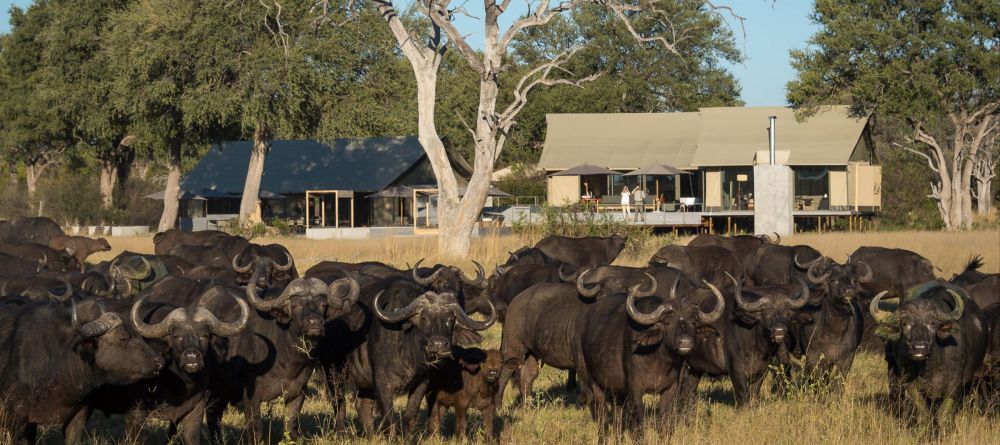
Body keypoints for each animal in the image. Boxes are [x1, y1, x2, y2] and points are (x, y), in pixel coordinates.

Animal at [872, 282, 988, 436]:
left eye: (933, 323)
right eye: (904, 324)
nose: (919, 348)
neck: (930, 368)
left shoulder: (955, 384)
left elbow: (944, 414)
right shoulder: (910, 383)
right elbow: (924, 413)